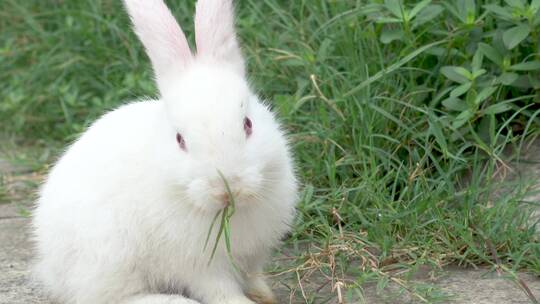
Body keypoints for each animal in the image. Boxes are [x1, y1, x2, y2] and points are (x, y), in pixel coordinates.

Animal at [31, 0, 298, 304]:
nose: (226, 189)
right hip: (109, 255)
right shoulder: (201, 267)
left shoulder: (253, 256)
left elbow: (252, 277)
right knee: (106, 296)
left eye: (248, 124)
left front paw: (265, 295)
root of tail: (51, 267)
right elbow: (221, 291)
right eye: (180, 140)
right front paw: (243, 302)